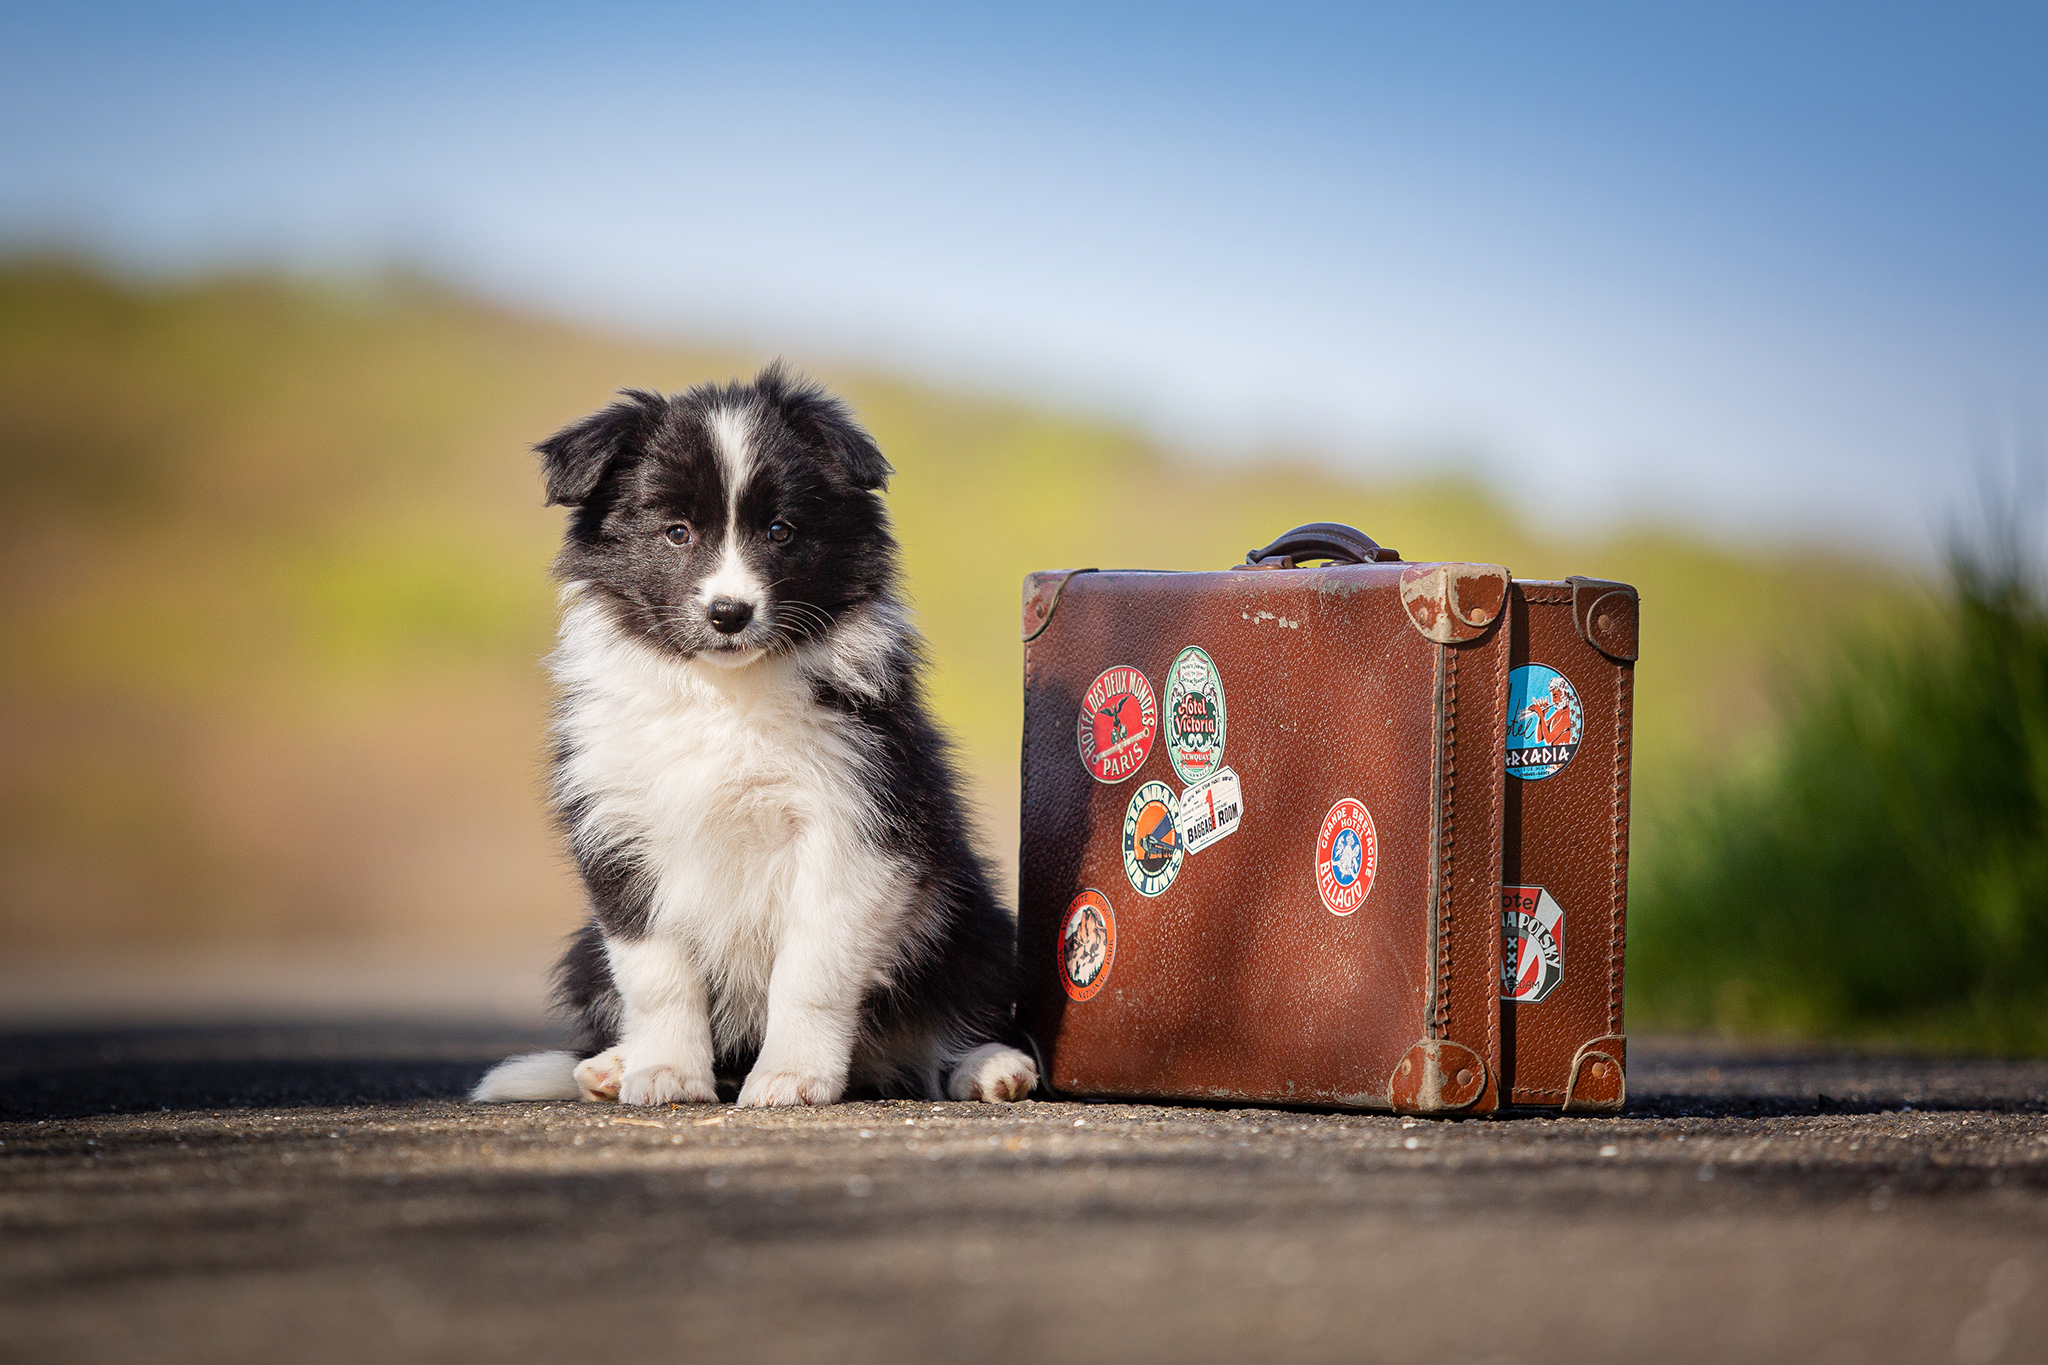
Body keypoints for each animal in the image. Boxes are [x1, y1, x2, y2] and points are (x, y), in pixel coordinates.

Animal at [468, 366, 1032, 1113]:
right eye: (675, 532)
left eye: (780, 530)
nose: (729, 613)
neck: (723, 693)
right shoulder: (621, 828)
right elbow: (656, 972)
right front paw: (665, 1073)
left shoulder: (853, 822)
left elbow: (812, 967)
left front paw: (790, 1077)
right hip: (587, 947)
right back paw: (608, 1066)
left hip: (972, 917)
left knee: (958, 1015)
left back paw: (991, 1068)